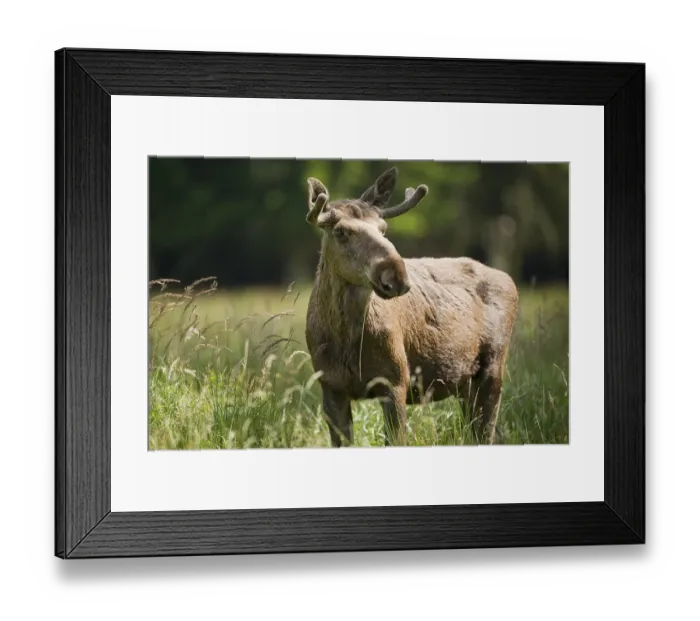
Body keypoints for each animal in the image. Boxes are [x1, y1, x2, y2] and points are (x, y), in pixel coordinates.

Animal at [304, 167, 518, 447]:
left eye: (383, 228)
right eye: (340, 231)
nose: (396, 275)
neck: (346, 341)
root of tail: (510, 280)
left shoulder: (396, 379)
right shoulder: (330, 384)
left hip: (493, 366)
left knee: (488, 431)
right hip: (465, 384)